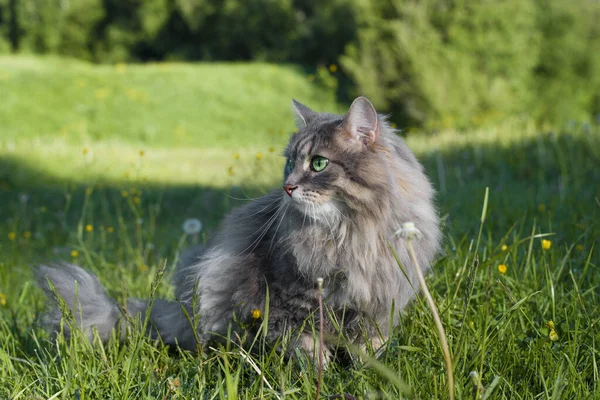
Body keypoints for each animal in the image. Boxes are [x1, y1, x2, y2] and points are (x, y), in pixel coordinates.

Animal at [37, 97, 440, 362]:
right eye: (290, 162)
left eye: (318, 164)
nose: (287, 187)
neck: (349, 233)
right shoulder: (292, 300)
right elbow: (308, 347)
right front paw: (320, 376)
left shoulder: (379, 305)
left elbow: (370, 349)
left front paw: (369, 374)